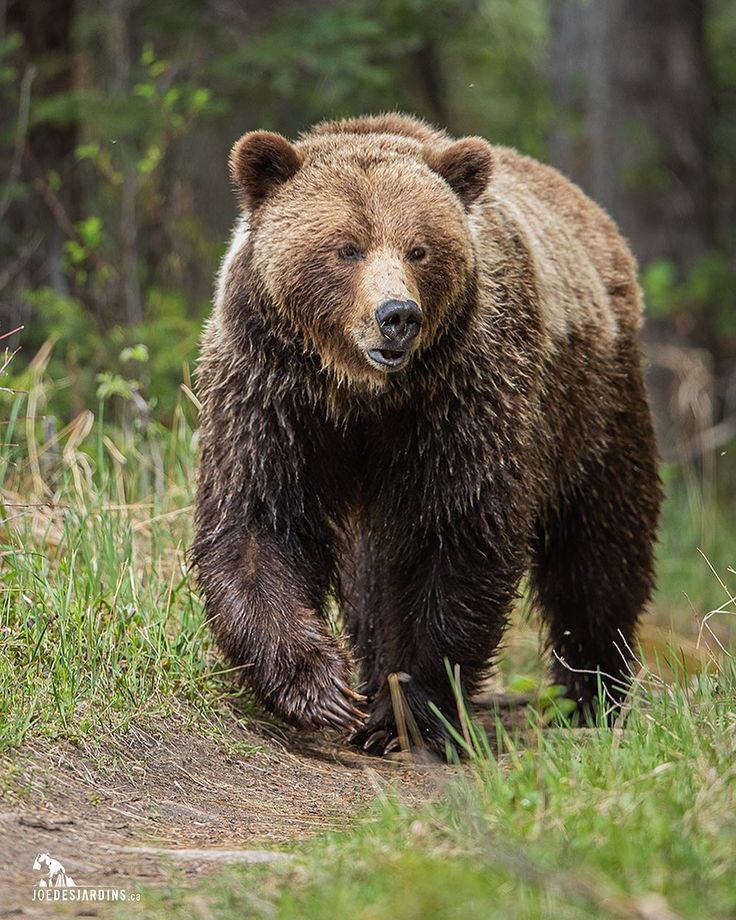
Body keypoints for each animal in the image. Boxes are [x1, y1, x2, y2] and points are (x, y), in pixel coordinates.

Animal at [191, 113, 660, 756]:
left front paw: (404, 716)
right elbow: (257, 521)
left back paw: (592, 695)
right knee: (373, 574)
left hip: (594, 406)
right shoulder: (272, 389)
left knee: (599, 553)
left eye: (420, 248)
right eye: (347, 247)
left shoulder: (463, 397)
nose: (397, 316)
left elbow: (458, 536)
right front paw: (322, 687)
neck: (362, 393)